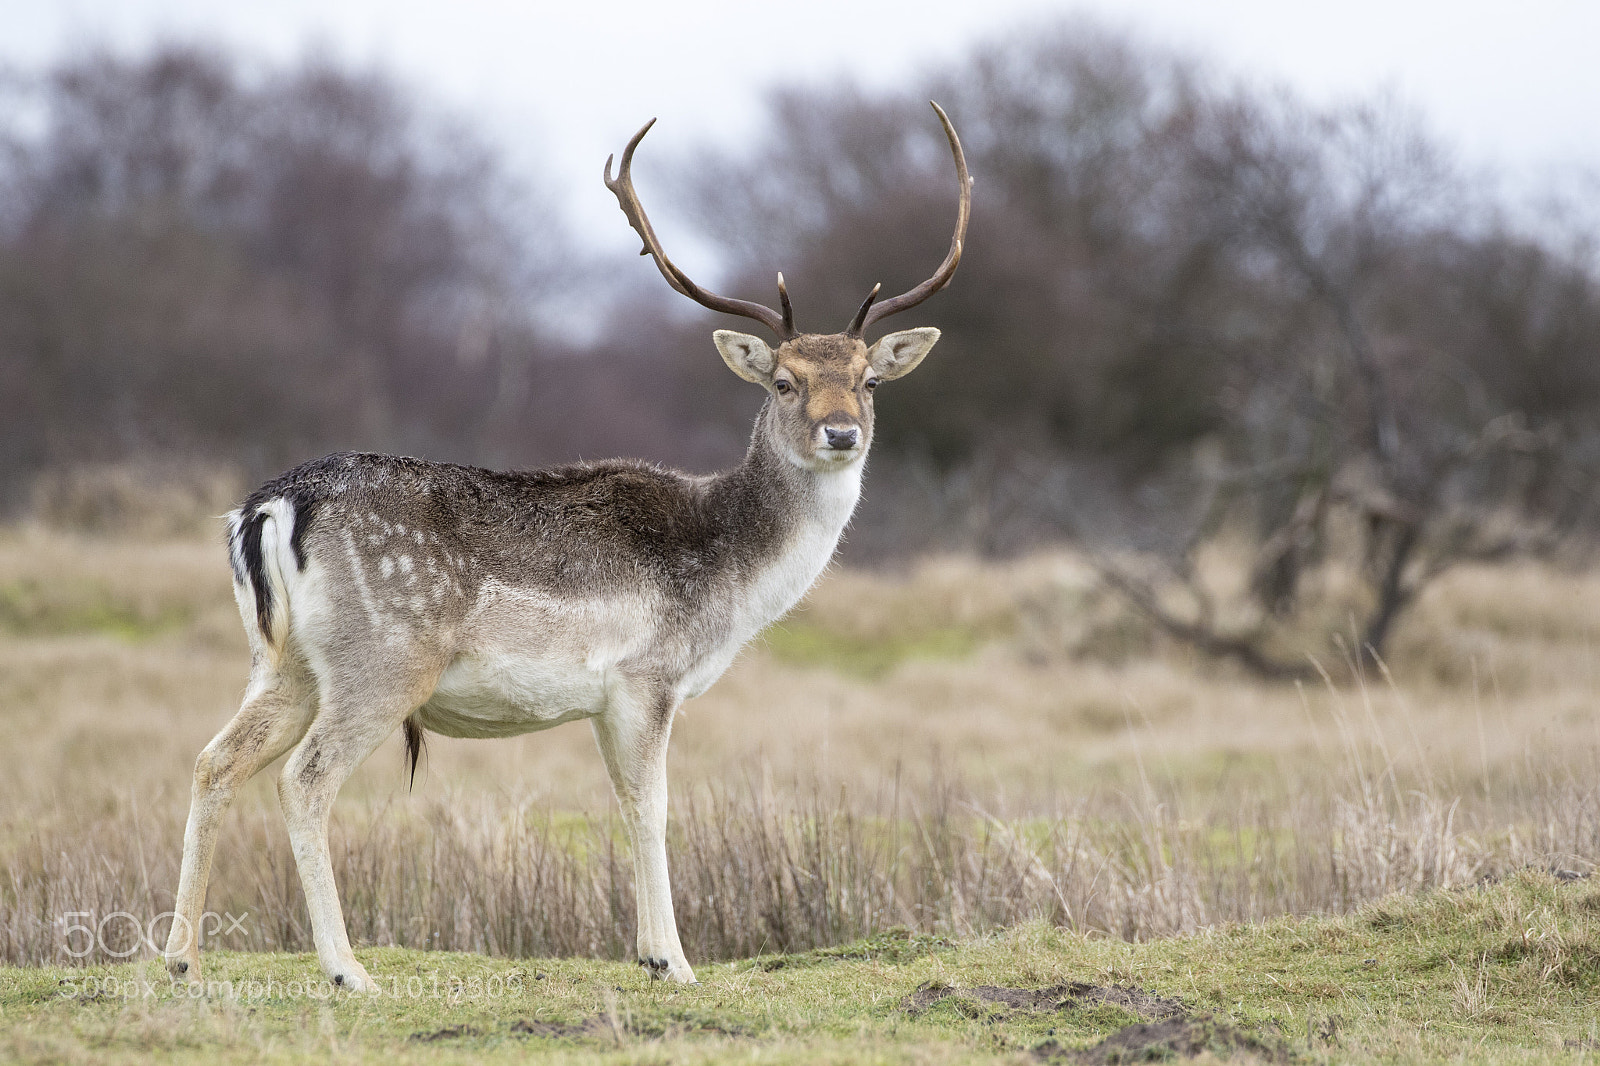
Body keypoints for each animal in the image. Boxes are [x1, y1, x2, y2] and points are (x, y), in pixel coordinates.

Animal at [164, 102, 971, 991]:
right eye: (784, 382)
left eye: (869, 380)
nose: (842, 433)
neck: (732, 580)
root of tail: (272, 505)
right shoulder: (649, 678)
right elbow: (653, 806)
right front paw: (675, 962)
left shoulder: (605, 700)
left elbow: (622, 802)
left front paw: (650, 953)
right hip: (382, 660)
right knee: (304, 780)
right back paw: (348, 970)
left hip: (283, 663)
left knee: (213, 760)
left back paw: (180, 959)